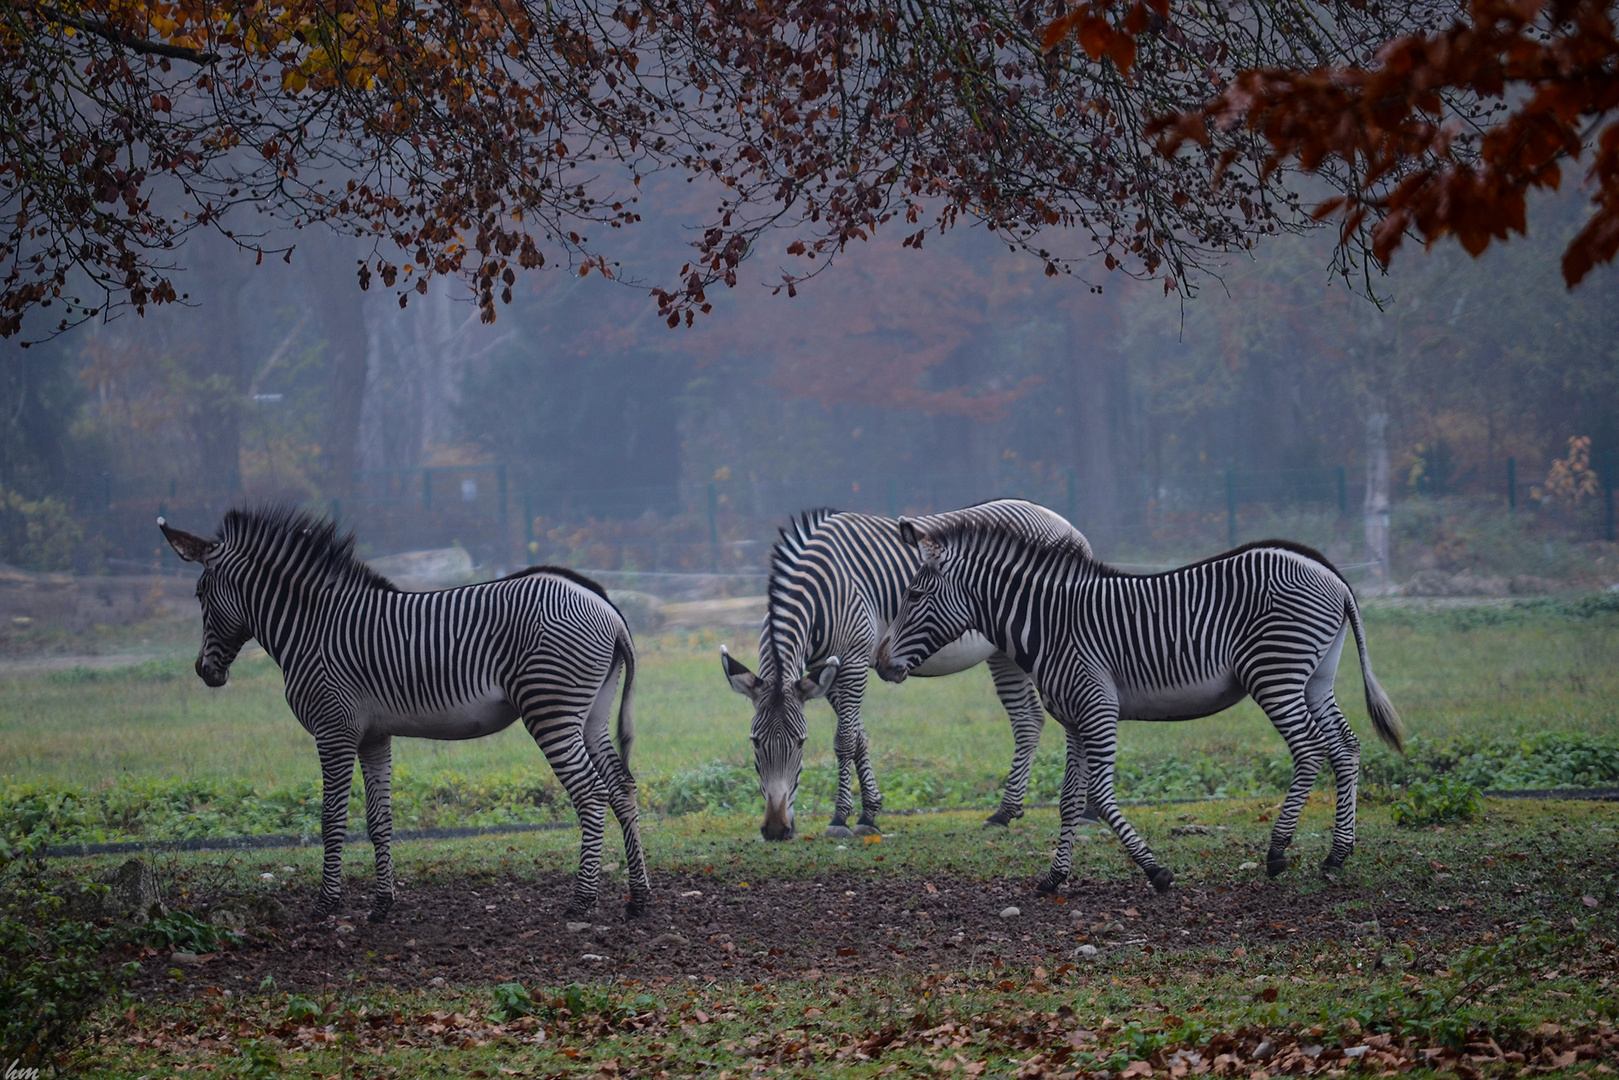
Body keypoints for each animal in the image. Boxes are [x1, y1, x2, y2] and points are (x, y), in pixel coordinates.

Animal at [156, 508, 650, 919]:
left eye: (200, 594)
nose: (205, 672)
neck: (310, 628)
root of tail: (606, 607)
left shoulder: (333, 730)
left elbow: (331, 819)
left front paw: (326, 904)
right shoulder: (373, 735)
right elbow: (379, 821)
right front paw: (381, 904)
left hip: (551, 712)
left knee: (591, 794)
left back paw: (582, 901)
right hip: (590, 715)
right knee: (622, 789)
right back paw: (639, 898)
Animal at [718, 498, 1087, 841]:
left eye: (800, 742)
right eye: (755, 742)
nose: (776, 829)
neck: (820, 586)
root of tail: (1061, 519)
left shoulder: (852, 660)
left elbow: (845, 739)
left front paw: (840, 818)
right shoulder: (825, 670)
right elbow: (860, 737)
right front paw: (869, 813)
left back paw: (1084, 813)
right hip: (1003, 651)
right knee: (1028, 720)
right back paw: (1005, 811)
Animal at [874, 514, 1405, 893]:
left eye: (914, 595)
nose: (880, 664)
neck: (1048, 624)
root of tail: (1328, 572)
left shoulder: (1096, 706)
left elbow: (1100, 795)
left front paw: (1156, 871)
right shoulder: (1072, 719)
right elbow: (1069, 801)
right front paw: (1054, 878)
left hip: (1274, 674)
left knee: (1311, 750)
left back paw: (1277, 852)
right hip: (1314, 677)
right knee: (1345, 747)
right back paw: (1337, 855)